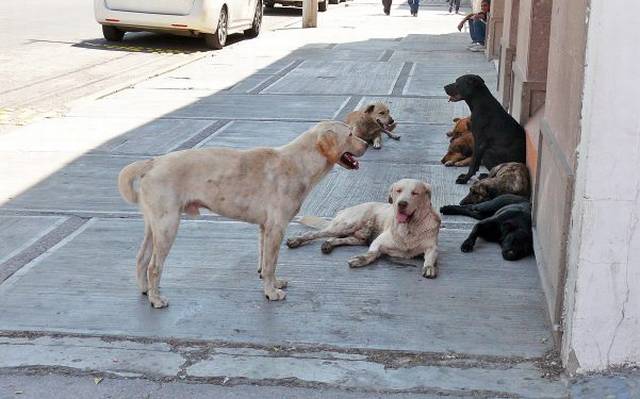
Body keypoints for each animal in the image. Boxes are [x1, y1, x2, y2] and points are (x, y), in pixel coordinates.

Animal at [118, 120, 368, 308]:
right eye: (350, 133)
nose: (367, 143)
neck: (300, 163)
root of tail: (153, 162)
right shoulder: (277, 227)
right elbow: (270, 264)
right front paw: (271, 292)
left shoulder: (265, 228)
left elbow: (266, 262)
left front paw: (274, 283)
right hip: (168, 225)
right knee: (154, 266)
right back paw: (156, 299)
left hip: (154, 226)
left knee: (141, 259)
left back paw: (146, 290)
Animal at [288, 180, 442, 280]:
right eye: (398, 190)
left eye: (415, 193)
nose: (402, 204)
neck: (409, 228)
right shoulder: (378, 242)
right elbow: (372, 254)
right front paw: (361, 259)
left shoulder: (432, 248)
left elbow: (430, 257)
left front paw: (429, 267)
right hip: (346, 225)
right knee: (314, 233)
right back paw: (296, 240)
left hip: (356, 238)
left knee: (336, 239)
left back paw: (328, 245)